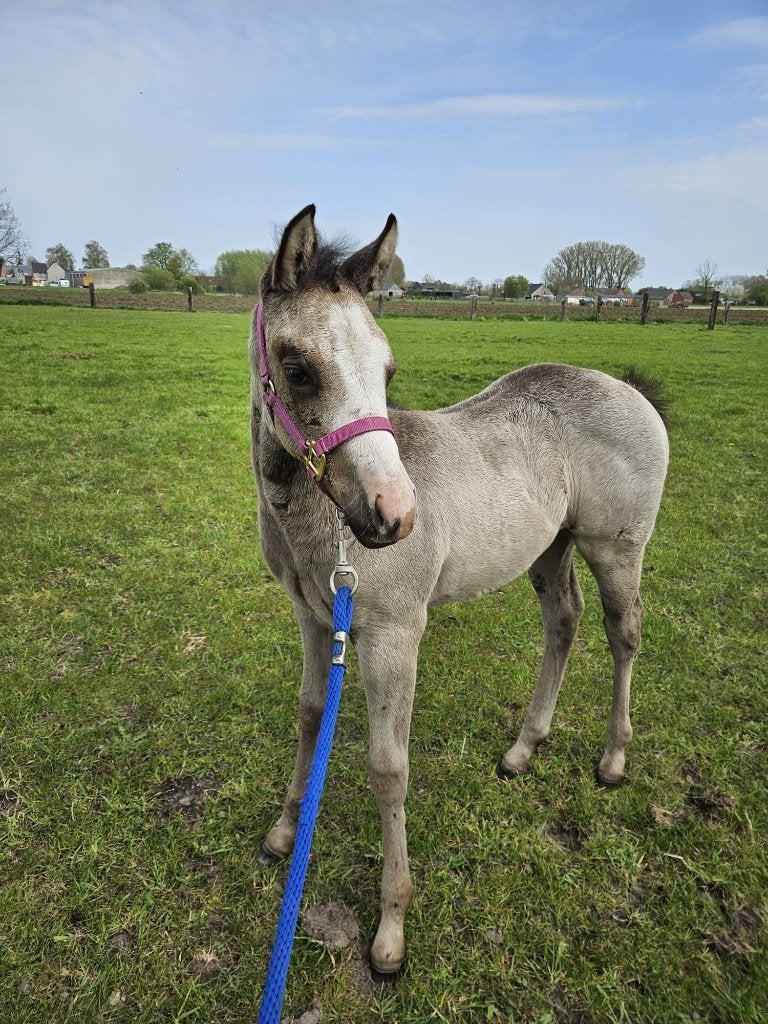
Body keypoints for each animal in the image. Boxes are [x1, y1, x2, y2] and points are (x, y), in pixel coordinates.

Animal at [249, 205, 669, 976]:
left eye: (388, 369)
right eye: (297, 369)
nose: (394, 515)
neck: (319, 527)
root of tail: (629, 387)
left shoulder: (392, 635)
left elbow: (388, 769)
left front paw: (390, 929)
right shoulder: (315, 619)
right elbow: (309, 716)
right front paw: (284, 833)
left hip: (615, 549)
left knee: (624, 632)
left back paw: (614, 759)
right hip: (550, 548)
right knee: (563, 622)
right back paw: (522, 750)